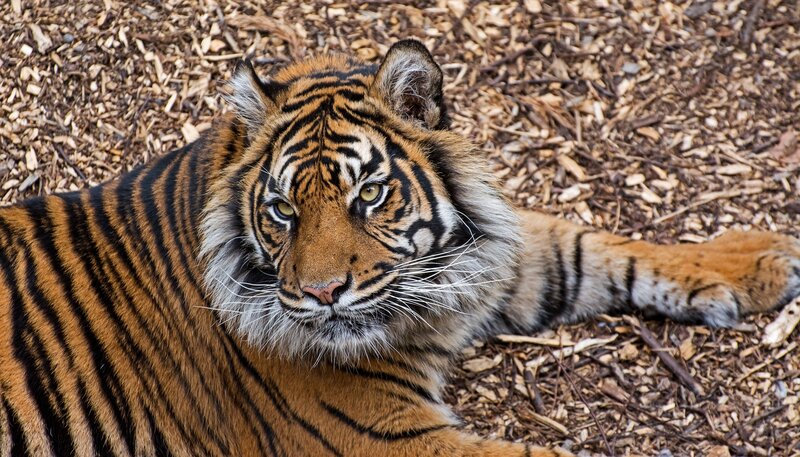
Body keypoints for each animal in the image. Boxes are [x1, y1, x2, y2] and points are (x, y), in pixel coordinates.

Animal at [0, 38, 798, 457]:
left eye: (368, 195)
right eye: (283, 210)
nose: (322, 294)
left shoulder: (494, 259)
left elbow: (593, 246)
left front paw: (759, 258)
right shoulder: (389, 439)